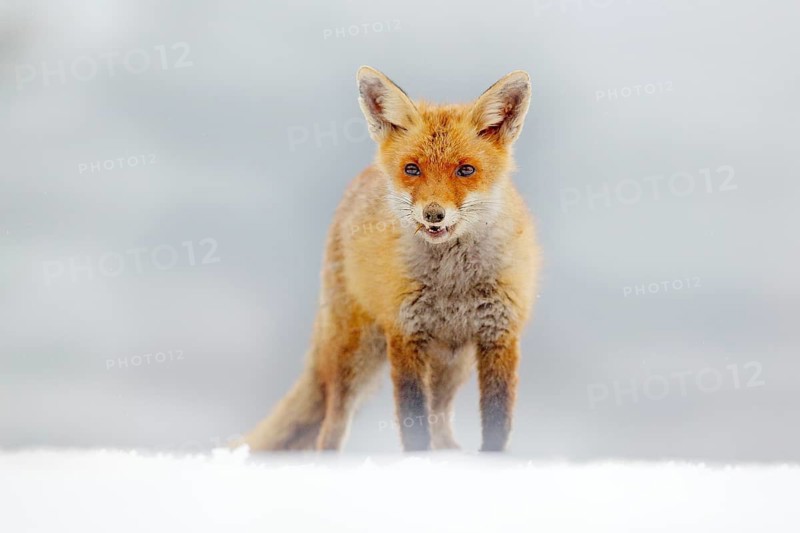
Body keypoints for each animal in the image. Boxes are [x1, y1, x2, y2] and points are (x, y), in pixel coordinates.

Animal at [240, 66, 540, 452]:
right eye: (412, 169)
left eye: (465, 170)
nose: (433, 214)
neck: (452, 284)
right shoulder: (405, 335)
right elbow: (414, 428)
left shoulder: (500, 335)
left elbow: (496, 424)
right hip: (356, 354)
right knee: (331, 427)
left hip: (451, 362)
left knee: (440, 418)